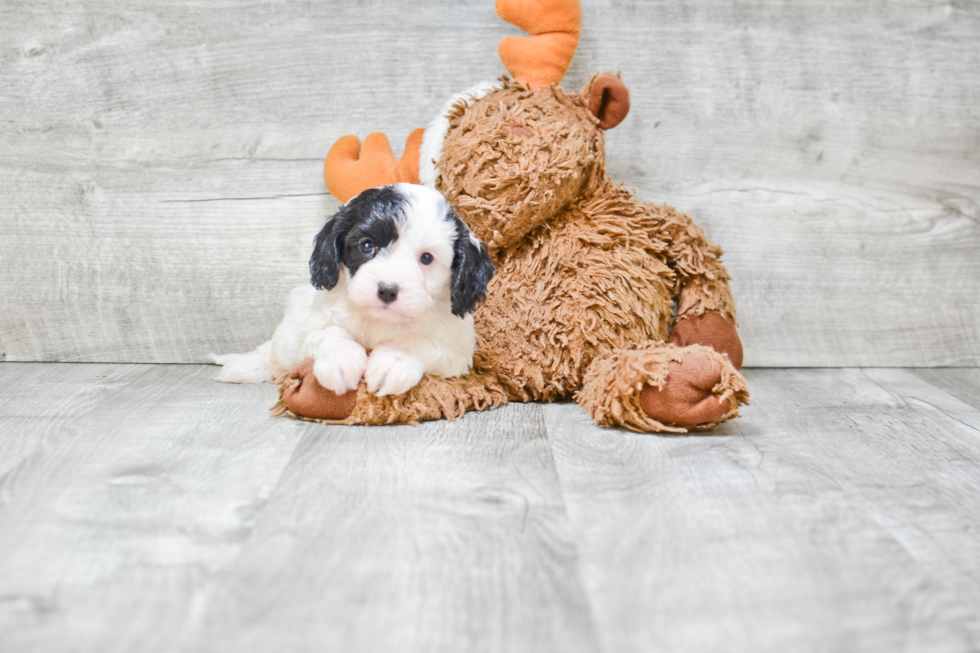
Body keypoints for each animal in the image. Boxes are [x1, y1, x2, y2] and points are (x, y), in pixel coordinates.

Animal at [212, 183, 494, 398]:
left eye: (426, 258)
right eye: (367, 245)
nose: (387, 290)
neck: (378, 321)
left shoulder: (456, 354)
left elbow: (417, 342)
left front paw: (394, 360)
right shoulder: (313, 326)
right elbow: (328, 333)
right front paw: (340, 360)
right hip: (287, 336)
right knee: (274, 355)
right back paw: (243, 366)